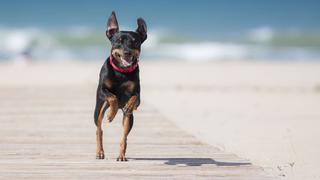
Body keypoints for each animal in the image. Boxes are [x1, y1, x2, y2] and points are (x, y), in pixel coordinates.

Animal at [93, 11, 147, 161]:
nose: (127, 52)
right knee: (99, 129)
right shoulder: (102, 91)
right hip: (98, 108)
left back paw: (121, 155)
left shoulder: (138, 97)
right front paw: (111, 114)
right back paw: (99, 152)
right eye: (119, 41)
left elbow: (135, 97)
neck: (122, 71)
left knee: (124, 136)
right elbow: (113, 97)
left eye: (135, 42)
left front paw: (128, 105)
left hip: (129, 119)